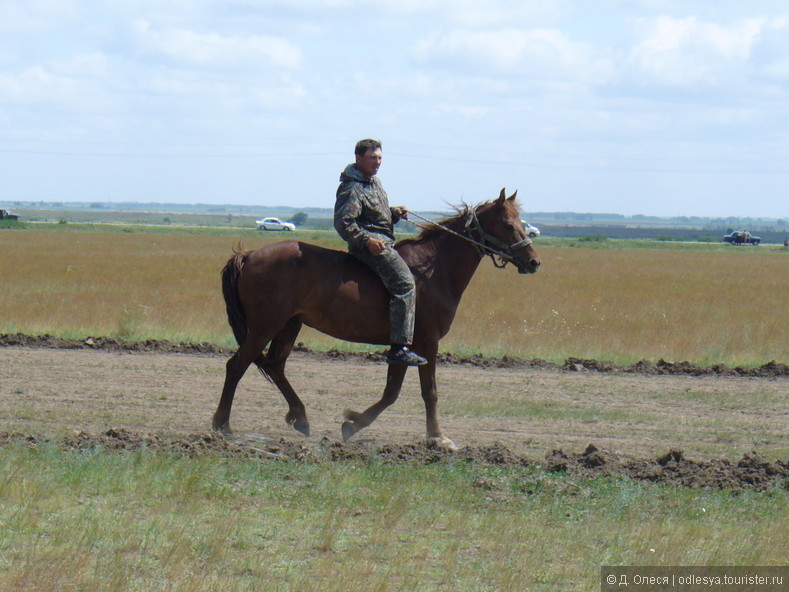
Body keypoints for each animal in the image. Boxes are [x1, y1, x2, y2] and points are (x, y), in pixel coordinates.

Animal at [212, 190, 540, 448]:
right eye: (509, 225)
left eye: (522, 224)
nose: (533, 261)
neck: (433, 271)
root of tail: (250, 254)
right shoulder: (427, 341)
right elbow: (428, 391)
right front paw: (438, 437)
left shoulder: (405, 347)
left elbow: (391, 392)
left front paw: (353, 423)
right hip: (264, 327)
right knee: (237, 366)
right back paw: (223, 425)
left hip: (289, 325)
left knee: (275, 367)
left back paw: (300, 417)